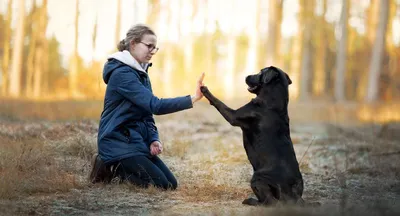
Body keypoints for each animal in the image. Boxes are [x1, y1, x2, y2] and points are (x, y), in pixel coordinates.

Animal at [202, 66, 304, 206]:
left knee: (270, 202)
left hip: (257, 178)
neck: (272, 100)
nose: (246, 76)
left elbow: (219, 102)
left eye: (261, 72)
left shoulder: (233, 116)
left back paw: (251, 200)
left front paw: (204, 90)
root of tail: (293, 194)